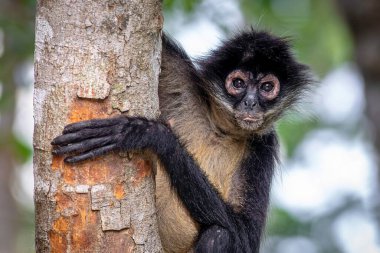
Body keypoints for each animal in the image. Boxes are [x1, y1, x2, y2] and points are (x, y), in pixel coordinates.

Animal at [51, 30, 312, 253]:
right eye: (238, 83)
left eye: (267, 87)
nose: (251, 103)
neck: (220, 129)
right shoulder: (184, 83)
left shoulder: (263, 146)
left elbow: (245, 234)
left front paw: (145, 132)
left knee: (220, 235)